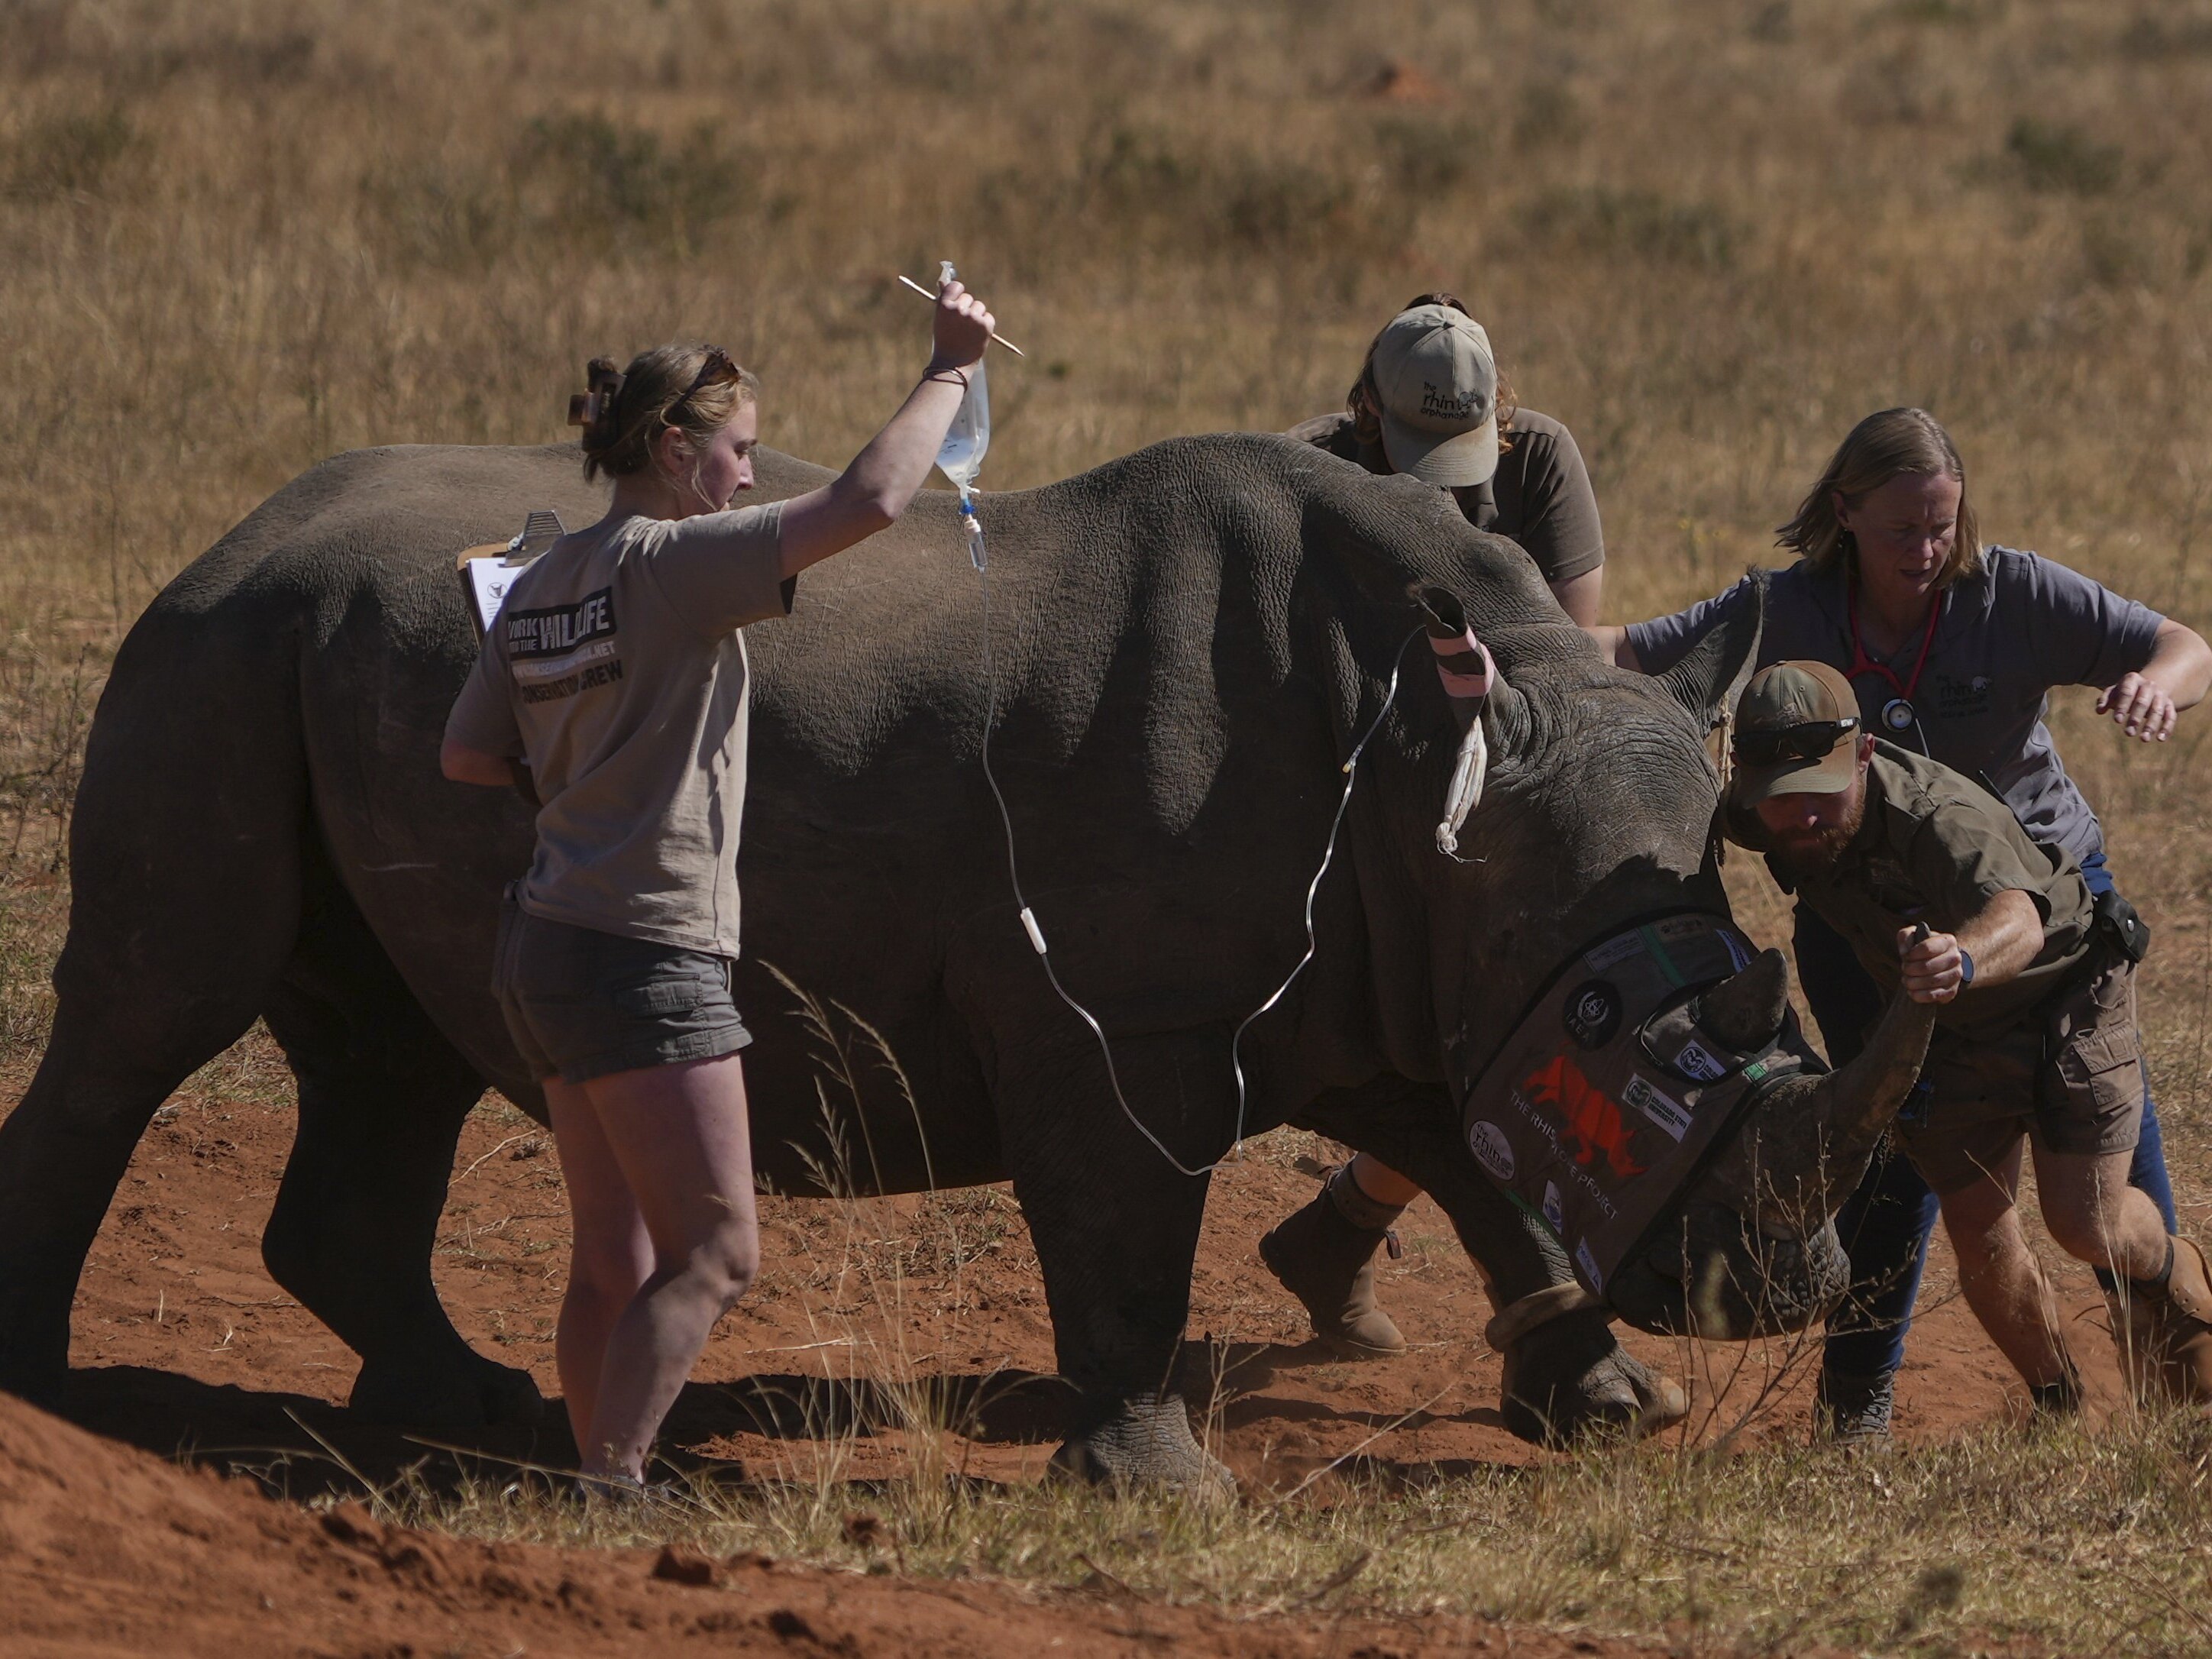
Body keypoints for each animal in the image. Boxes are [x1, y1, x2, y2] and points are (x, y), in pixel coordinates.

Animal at [0, 434, 1934, 1487]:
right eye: (1622, 1026)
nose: (1776, 1293)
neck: (1435, 762)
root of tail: (237, 528)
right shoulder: (1130, 1015)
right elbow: (1129, 1229)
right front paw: (1158, 1489)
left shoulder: (1424, 969)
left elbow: (1486, 1167)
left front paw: (1611, 1404)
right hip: (213, 646)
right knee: (155, 1006)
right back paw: (49, 1401)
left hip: (309, 655)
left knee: (392, 1044)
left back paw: (462, 1413)